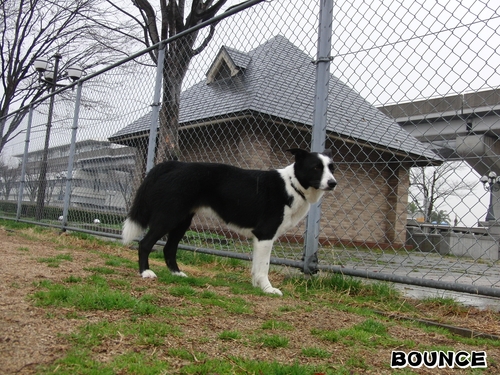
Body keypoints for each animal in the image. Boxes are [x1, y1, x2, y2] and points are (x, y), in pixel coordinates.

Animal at [123, 148, 338, 296]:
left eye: (332, 168)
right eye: (316, 168)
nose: (333, 183)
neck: (292, 185)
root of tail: (175, 164)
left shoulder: (259, 239)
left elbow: (256, 267)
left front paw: (257, 287)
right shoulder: (265, 235)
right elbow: (264, 267)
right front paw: (268, 289)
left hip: (182, 221)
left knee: (169, 248)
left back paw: (176, 273)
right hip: (168, 217)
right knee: (145, 243)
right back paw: (145, 272)